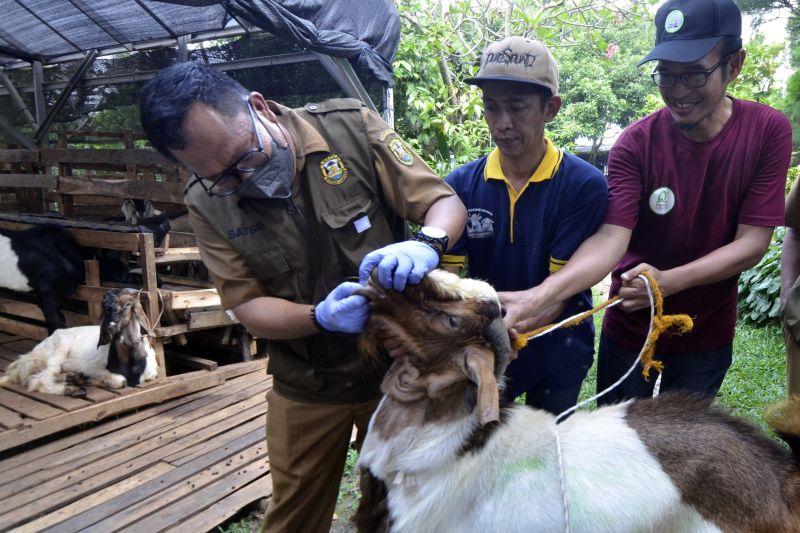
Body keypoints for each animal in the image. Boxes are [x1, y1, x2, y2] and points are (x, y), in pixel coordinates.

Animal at [0, 286, 159, 394]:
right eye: (104, 307)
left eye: (127, 305)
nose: (109, 326)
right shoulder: (91, 367)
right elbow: (120, 380)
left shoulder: (152, 373)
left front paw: (82, 378)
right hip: (58, 351)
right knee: (39, 380)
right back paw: (72, 389)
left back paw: (72, 378)